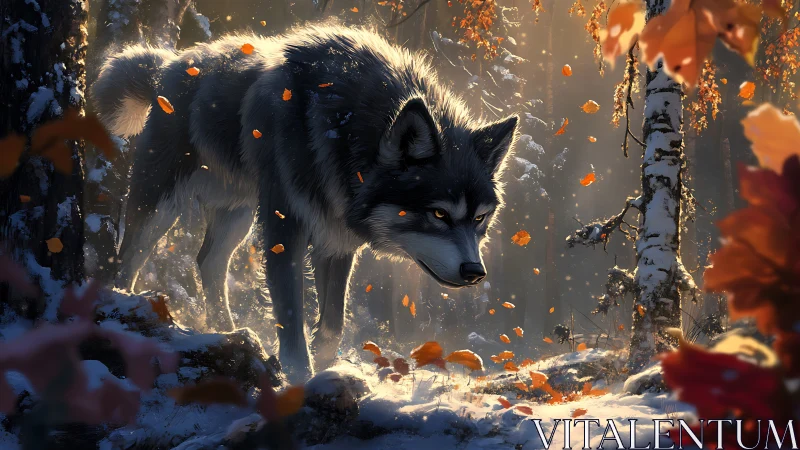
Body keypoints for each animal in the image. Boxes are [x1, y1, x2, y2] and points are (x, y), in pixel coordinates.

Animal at [92, 25, 518, 382]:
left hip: (240, 216)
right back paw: (125, 311)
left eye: (480, 218)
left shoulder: (337, 240)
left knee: (207, 261)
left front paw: (326, 371)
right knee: (127, 258)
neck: (346, 126)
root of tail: (170, 63)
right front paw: (299, 378)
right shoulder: (286, 228)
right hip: (163, 204)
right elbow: (291, 316)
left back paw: (228, 332)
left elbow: (332, 325)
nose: (475, 272)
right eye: (439, 214)